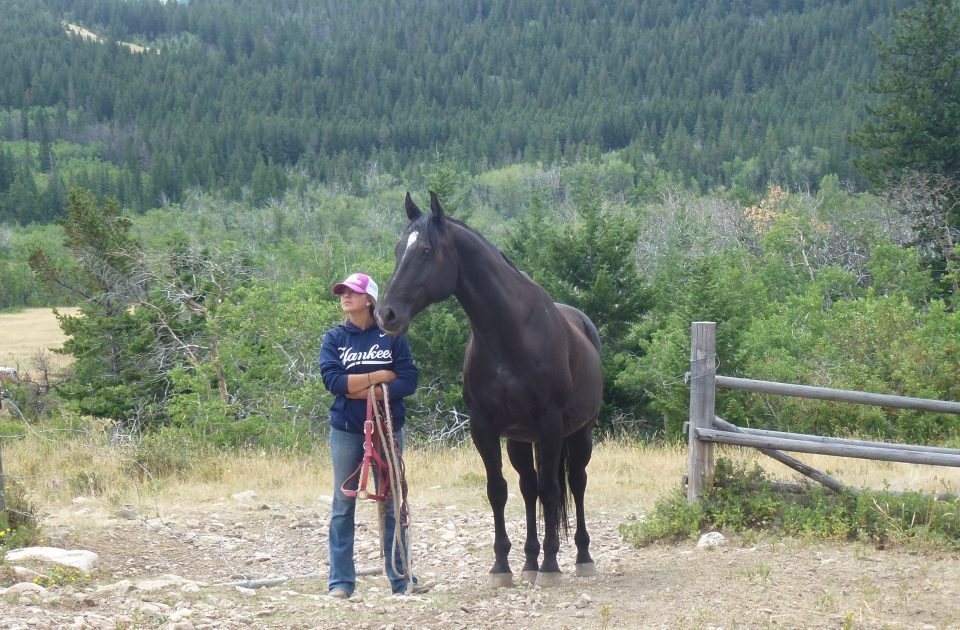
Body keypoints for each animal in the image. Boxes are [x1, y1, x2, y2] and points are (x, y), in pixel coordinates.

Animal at [376, 195, 600, 592]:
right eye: (399, 248)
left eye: (426, 250)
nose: (386, 314)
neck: (510, 335)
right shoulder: (484, 427)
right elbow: (498, 490)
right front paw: (502, 566)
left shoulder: (550, 425)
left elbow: (553, 491)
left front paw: (551, 566)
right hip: (521, 440)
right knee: (528, 488)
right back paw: (529, 561)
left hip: (579, 433)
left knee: (575, 483)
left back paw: (581, 558)